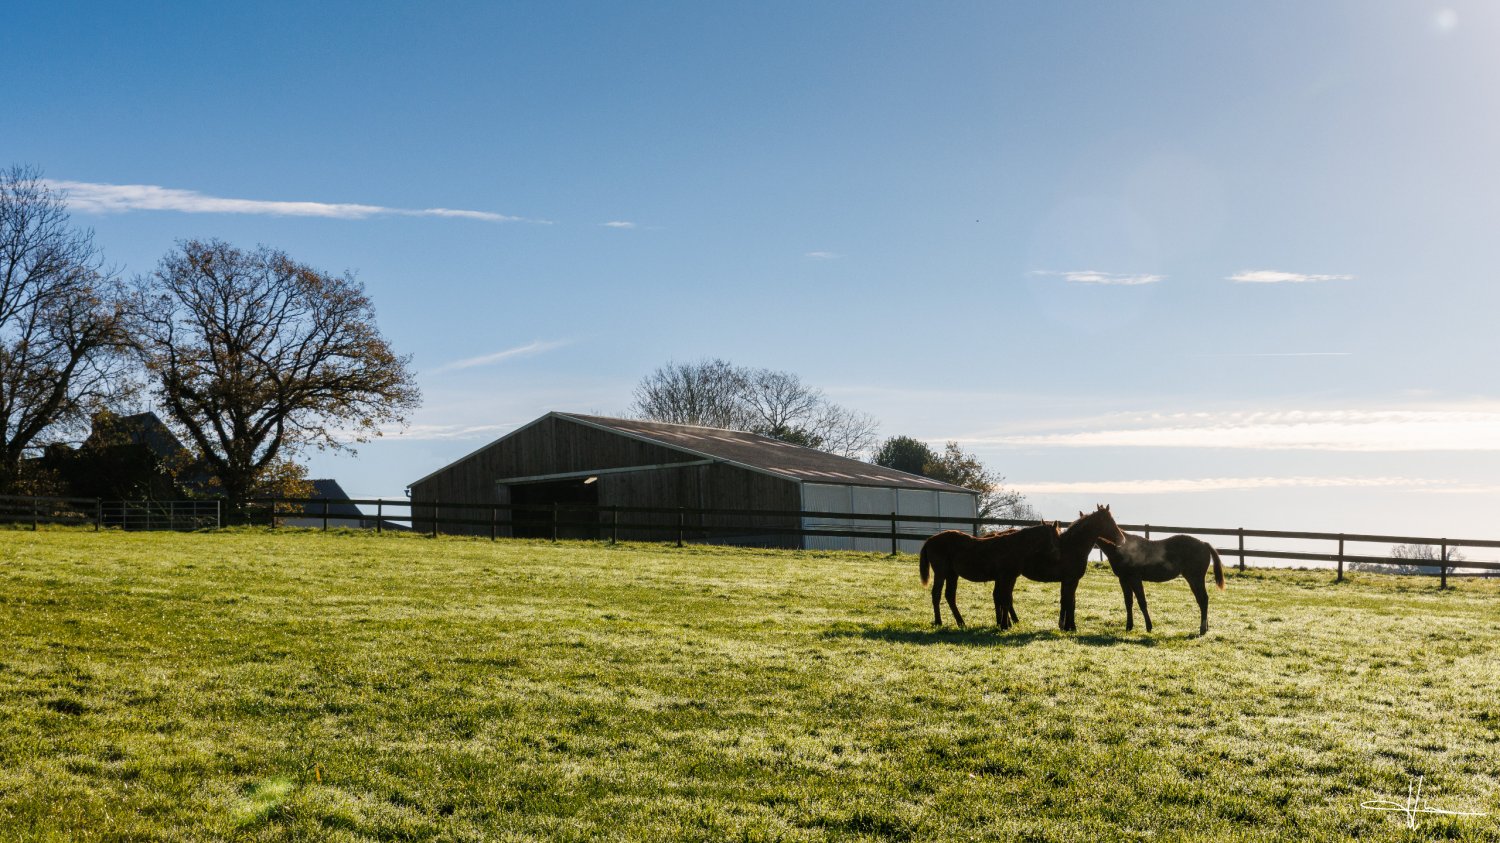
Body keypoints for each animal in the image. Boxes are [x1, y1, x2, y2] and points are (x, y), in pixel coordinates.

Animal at [919, 522, 1061, 627]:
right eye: (1057, 536)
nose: (1057, 555)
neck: (1014, 546)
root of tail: (930, 540)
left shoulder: (1006, 578)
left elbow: (1003, 598)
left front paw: (1004, 623)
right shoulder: (1007, 577)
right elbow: (1005, 599)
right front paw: (1005, 624)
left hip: (952, 575)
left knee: (950, 596)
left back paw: (961, 622)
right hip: (941, 573)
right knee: (936, 594)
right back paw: (939, 621)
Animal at [1095, 531, 1225, 635]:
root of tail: (1204, 544)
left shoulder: (1135, 579)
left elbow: (1142, 602)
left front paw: (1149, 627)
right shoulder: (1123, 579)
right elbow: (1128, 603)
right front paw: (1129, 627)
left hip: (1195, 578)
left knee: (1203, 600)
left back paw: (1202, 629)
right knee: (1202, 600)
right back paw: (1206, 628)